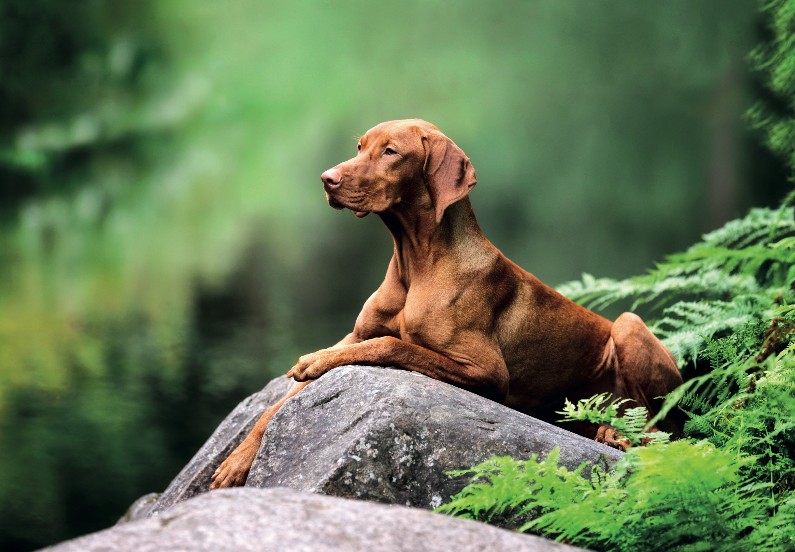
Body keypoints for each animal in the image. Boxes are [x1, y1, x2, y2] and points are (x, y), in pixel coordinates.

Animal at [211, 117, 684, 488]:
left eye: (390, 151)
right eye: (359, 147)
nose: (327, 179)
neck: (416, 263)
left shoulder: (487, 372)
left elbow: (393, 345)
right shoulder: (354, 335)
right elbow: (279, 402)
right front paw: (237, 461)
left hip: (627, 325)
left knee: (660, 432)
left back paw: (616, 435)